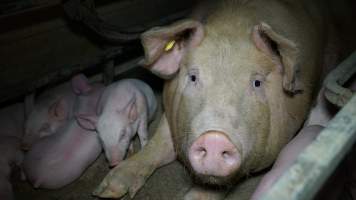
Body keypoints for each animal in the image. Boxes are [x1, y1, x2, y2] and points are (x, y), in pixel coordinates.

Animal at [95, 0, 328, 198]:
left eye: (257, 83)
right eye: (193, 77)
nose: (215, 138)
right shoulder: (170, 111)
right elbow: (158, 145)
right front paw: (105, 190)